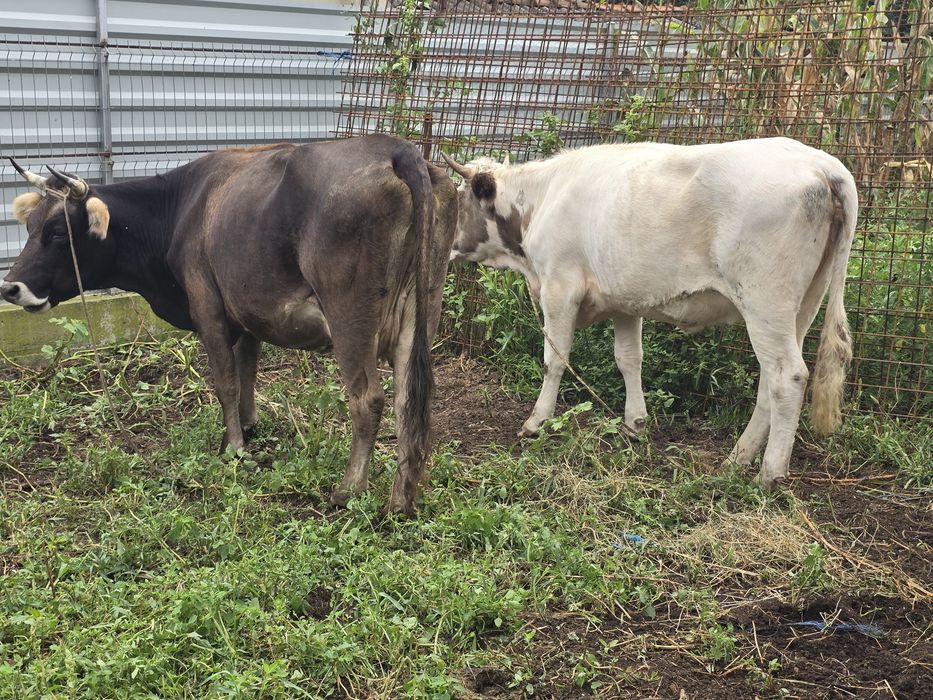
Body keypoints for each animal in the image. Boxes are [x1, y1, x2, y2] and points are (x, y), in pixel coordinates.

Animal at [2, 135, 457, 515]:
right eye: (29, 226)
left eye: (57, 232)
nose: (10, 287)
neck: (179, 209)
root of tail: (396, 148)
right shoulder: (248, 315)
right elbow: (247, 372)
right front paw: (247, 427)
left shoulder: (208, 309)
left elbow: (225, 381)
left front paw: (234, 448)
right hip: (421, 311)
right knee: (409, 398)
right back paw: (401, 500)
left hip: (349, 317)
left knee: (369, 400)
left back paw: (348, 492)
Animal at [442, 137, 857, 490]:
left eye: (458, 199)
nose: (445, 246)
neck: (543, 200)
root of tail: (824, 165)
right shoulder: (626, 300)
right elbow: (629, 359)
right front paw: (635, 423)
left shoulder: (559, 288)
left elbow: (554, 360)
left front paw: (536, 421)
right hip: (803, 305)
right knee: (769, 383)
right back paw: (737, 458)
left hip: (766, 301)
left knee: (788, 377)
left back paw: (769, 473)